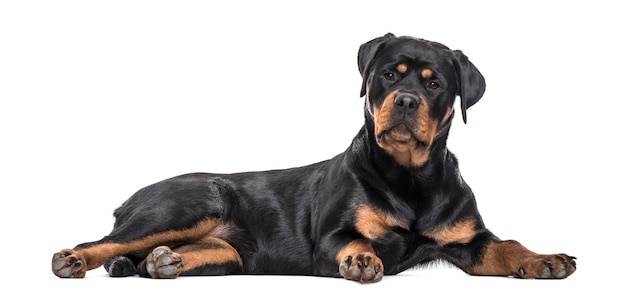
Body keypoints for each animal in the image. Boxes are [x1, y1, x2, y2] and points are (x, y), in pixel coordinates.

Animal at [52, 33, 576, 282]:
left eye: (434, 83)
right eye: (388, 74)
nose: (406, 101)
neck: (410, 179)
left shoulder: (468, 240)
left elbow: (507, 246)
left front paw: (545, 260)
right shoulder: (331, 236)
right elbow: (355, 239)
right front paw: (362, 260)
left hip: (229, 254)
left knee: (160, 255)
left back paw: (164, 263)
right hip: (187, 203)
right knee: (106, 241)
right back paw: (74, 259)